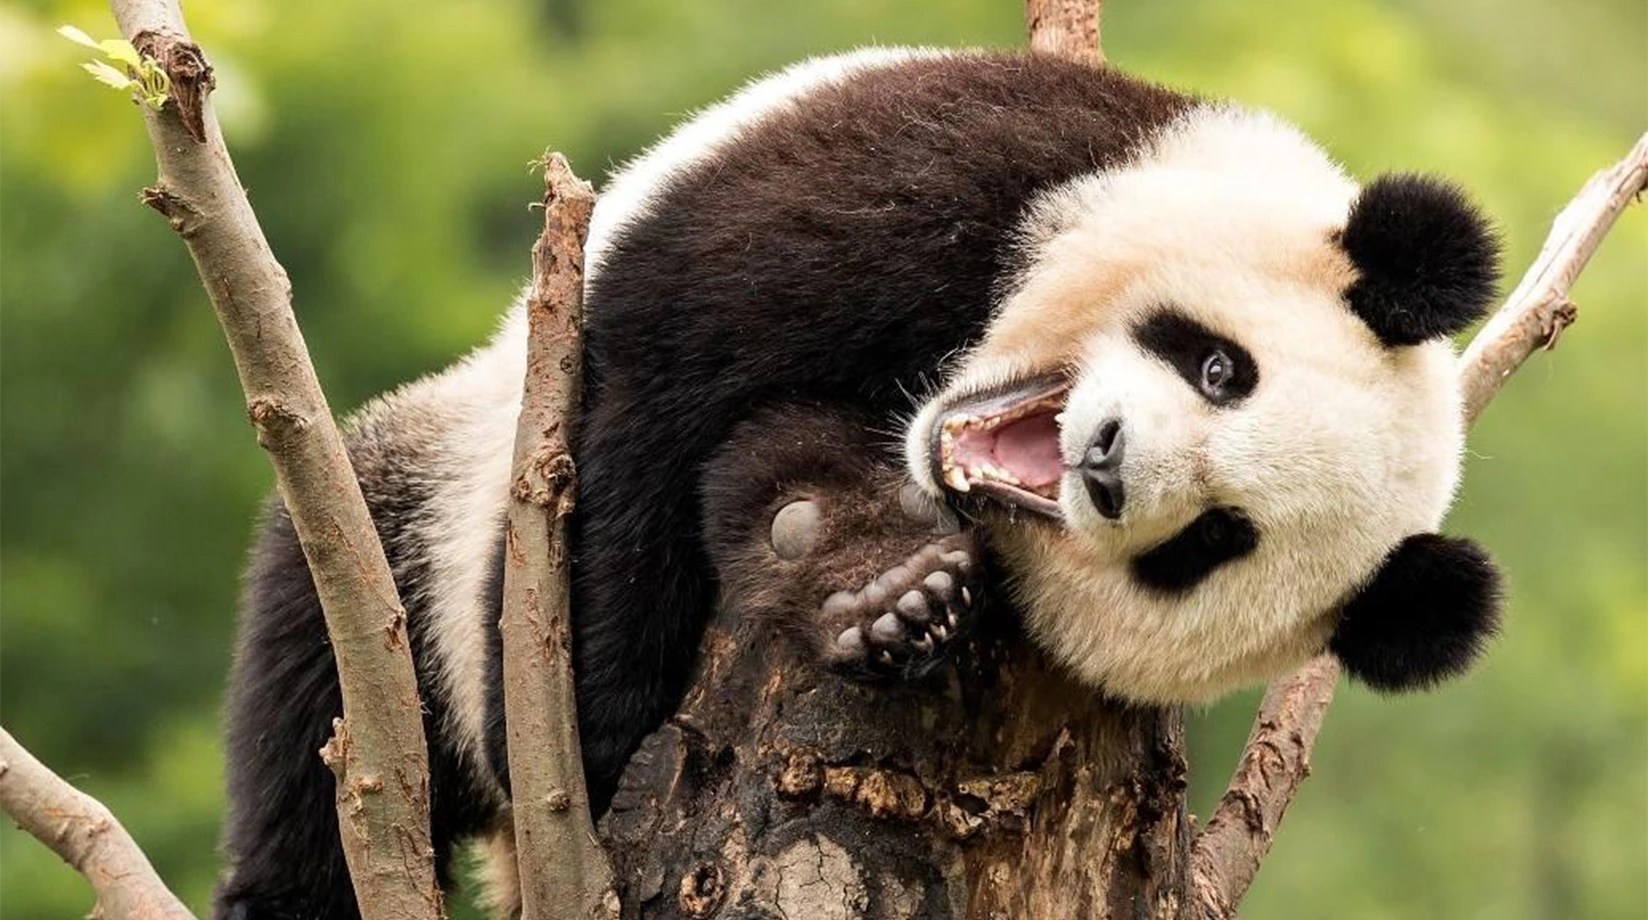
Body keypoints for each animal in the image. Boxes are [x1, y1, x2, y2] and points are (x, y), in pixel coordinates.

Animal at [214, 47, 1504, 920]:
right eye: (1220, 366)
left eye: (1210, 541)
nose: (1106, 460)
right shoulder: (969, 168)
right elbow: (657, 381)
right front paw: (598, 706)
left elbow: (769, 466)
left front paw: (886, 592)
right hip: (428, 487)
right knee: (318, 650)